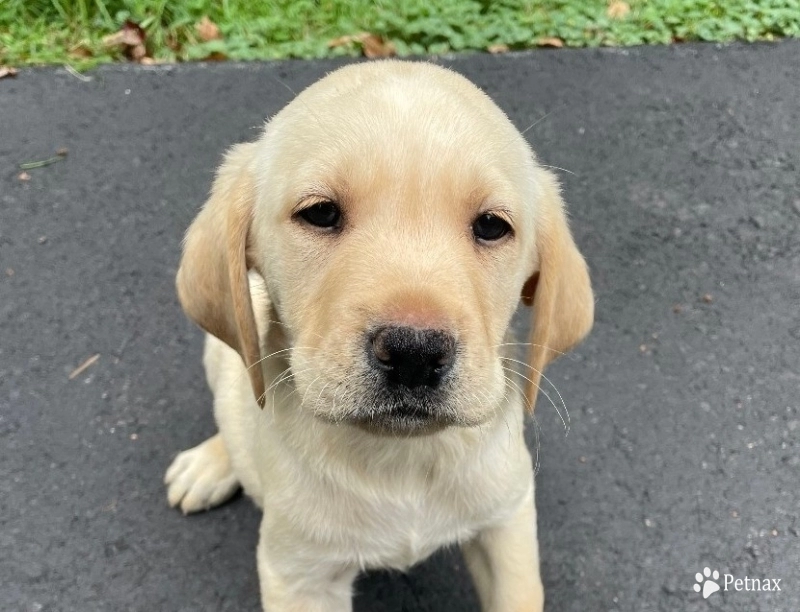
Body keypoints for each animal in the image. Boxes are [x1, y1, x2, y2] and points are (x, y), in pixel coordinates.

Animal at [166, 58, 592, 612]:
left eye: (492, 226)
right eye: (320, 212)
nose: (414, 353)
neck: (401, 461)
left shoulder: (509, 524)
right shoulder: (299, 575)